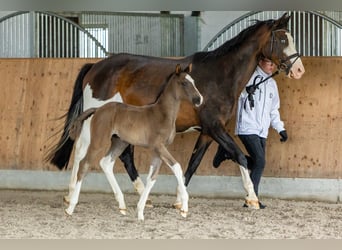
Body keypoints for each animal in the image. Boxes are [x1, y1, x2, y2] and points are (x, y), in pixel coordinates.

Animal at [64, 63, 203, 220]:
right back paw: (71, 207)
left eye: (194, 82)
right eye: (184, 83)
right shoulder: (159, 146)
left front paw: (140, 212)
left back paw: (122, 205)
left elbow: (152, 178)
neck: (162, 114)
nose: (199, 99)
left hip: (120, 142)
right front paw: (184, 207)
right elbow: (177, 167)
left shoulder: (157, 151)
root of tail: (97, 109)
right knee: (84, 164)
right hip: (98, 141)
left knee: (105, 163)